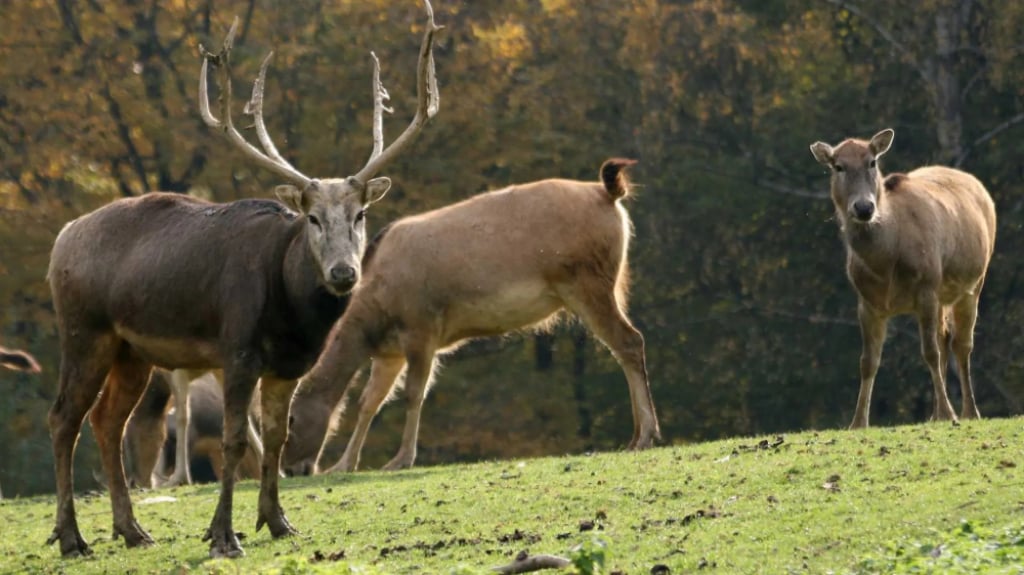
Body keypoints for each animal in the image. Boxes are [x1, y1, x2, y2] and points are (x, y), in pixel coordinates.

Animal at [45, 0, 440, 556]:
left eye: (360, 214)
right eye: (312, 218)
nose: (344, 272)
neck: (290, 315)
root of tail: (62, 238)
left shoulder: (287, 366)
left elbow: (275, 437)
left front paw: (278, 522)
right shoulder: (237, 350)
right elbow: (235, 440)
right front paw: (223, 535)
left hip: (132, 351)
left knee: (106, 421)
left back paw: (133, 531)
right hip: (84, 330)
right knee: (64, 418)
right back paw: (72, 537)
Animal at [284, 154, 659, 472]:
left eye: (290, 418)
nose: (293, 469)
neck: (371, 319)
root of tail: (609, 193)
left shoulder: (421, 326)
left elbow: (414, 393)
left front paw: (401, 459)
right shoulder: (390, 352)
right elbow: (368, 402)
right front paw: (343, 465)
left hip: (588, 283)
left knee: (629, 341)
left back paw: (646, 436)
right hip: (603, 284)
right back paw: (635, 435)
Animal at [806, 127, 991, 427]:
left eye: (872, 162)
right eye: (838, 166)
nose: (864, 208)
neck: (885, 263)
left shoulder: (926, 286)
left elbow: (929, 352)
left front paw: (949, 413)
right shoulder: (866, 303)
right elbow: (868, 361)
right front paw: (858, 421)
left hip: (973, 282)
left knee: (961, 344)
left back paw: (968, 411)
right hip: (942, 295)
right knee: (944, 338)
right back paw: (936, 413)